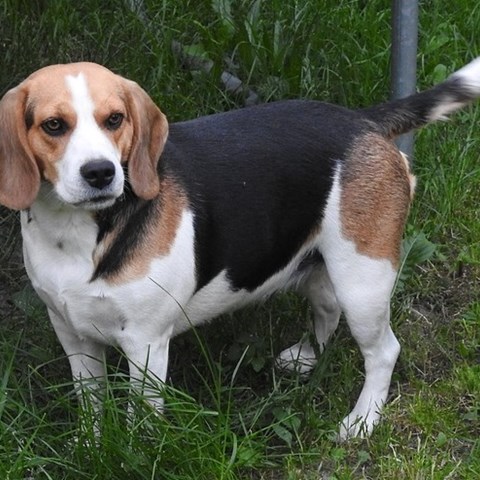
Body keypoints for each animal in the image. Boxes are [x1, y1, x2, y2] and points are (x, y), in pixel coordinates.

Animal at [0, 57, 480, 438]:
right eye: (54, 125)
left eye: (114, 119)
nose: (101, 172)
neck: (79, 232)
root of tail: (364, 120)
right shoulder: (71, 332)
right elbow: (91, 403)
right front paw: (92, 446)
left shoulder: (146, 342)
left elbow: (142, 415)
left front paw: (138, 450)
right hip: (323, 263)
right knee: (327, 308)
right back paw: (308, 356)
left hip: (364, 280)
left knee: (383, 352)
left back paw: (361, 422)